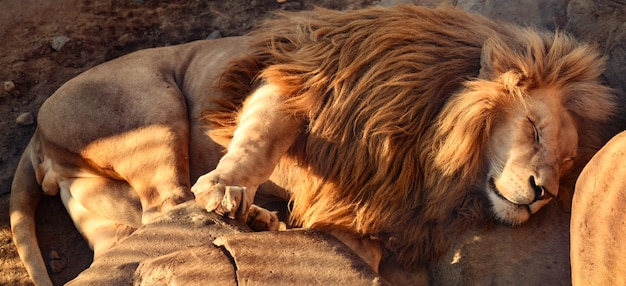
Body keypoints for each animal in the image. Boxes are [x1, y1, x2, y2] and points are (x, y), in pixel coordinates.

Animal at [9, 3, 616, 284]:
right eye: (533, 129)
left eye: (566, 163)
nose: (543, 192)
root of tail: (36, 135)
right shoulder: (297, 78)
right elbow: (260, 140)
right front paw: (226, 189)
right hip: (151, 107)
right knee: (170, 202)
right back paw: (244, 214)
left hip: (101, 201)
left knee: (136, 233)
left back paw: (260, 221)